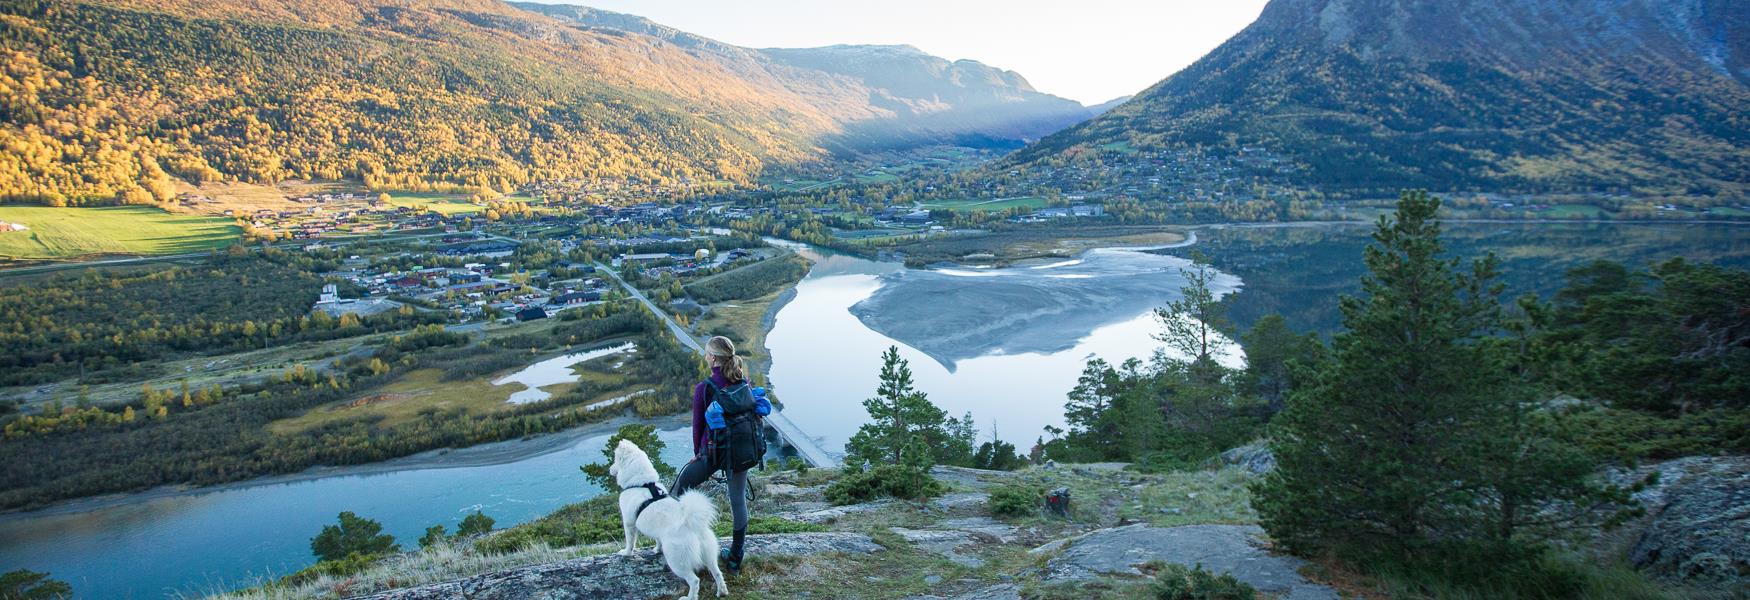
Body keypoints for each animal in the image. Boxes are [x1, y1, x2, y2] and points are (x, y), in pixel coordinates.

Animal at [612, 439, 728, 598]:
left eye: (615, 460)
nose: (610, 469)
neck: (642, 483)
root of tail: (692, 525)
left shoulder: (628, 522)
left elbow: (630, 542)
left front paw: (626, 553)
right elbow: (657, 540)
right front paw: (656, 549)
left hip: (677, 561)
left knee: (694, 580)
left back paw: (689, 598)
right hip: (709, 554)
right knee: (717, 572)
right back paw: (722, 591)